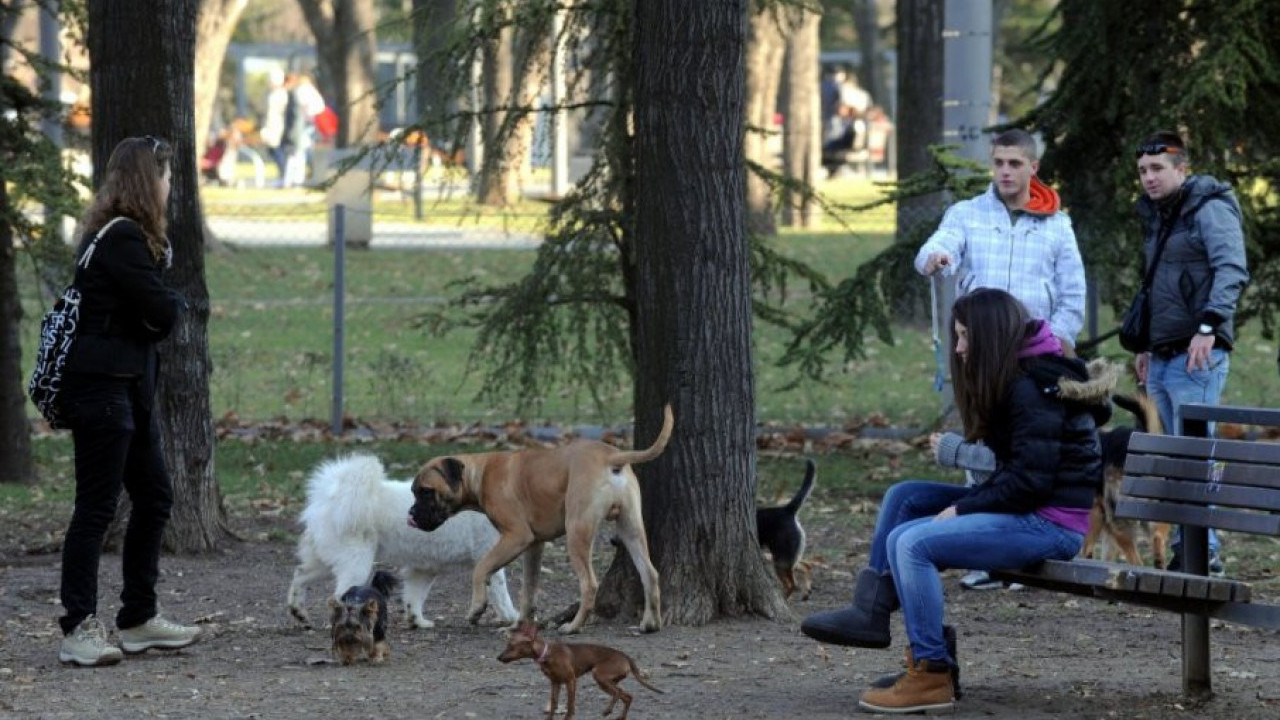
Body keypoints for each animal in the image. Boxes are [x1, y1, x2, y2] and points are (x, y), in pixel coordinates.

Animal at [288, 453, 517, 627]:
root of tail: (331, 496)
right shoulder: (489, 556)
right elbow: (501, 591)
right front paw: (512, 616)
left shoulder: (424, 569)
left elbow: (414, 597)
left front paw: (418, 621)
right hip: (356, 564)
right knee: (338, 596)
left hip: (324, 561)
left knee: (299, 575)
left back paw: (299, 612)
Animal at [409, 404, 675, 632]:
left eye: (426, 492)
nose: (411, 514)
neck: (480, 473)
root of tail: (611, 457)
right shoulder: (534, 546)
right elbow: (528, 589)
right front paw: (518, 625)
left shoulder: (516, 537)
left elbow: (481, 568)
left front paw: (476, 608)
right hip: (631, 529)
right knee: (649, 574)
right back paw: (651, 623)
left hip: (577, 532)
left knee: (589, 584)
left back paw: (573, 626)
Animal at [496, 617, 665, 717]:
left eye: (510, 646)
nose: (498, 657)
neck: (547, 653)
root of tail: (625, 656)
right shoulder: (555, 683)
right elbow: (554, 705)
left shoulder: (571, 681)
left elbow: (570, 706)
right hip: (608, 681)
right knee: (627, 696)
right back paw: (619, 716)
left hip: (600, 676)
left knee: (619, 694)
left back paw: (608, 711)